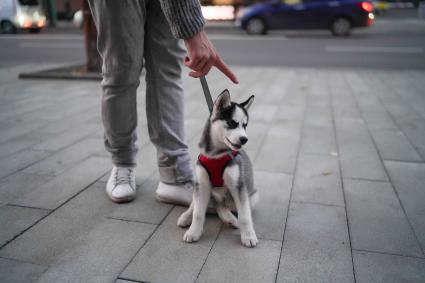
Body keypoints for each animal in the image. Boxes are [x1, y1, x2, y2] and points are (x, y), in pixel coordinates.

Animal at [176, 90, 256, 247]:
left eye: (245, 125)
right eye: (231, 123)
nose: (244, 139)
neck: (216, 155)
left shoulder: (239, 186)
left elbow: (245, 215)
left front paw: (248, 236)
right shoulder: (202, 183)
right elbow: (198, 212)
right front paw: (193, 232)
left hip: (252, 196)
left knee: (222, 206)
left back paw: (230, 218)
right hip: (200, 186)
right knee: (199, 203)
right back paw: (186, 217)